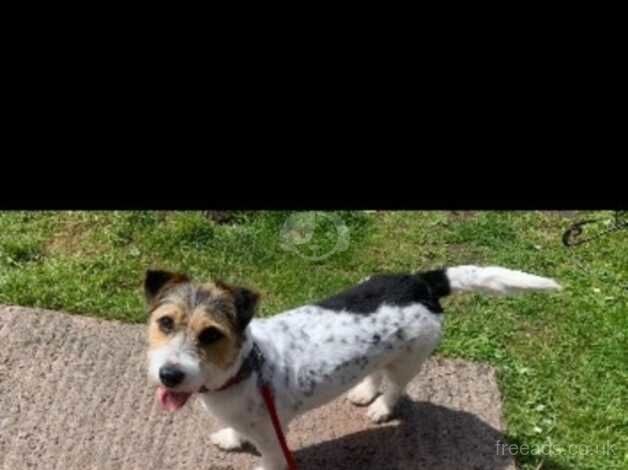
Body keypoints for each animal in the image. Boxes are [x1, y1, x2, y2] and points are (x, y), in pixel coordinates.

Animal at [146, 266, 560, 468]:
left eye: (211, 334)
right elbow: (234, 430)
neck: (245, 366)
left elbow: (271, 459)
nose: (169, 375)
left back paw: (380, 408)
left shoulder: (272, 438)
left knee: (395, 387)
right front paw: (231, 439)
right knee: (374, 370)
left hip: (409, 360)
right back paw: (363, 392)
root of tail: (422, 282)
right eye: (165, 323)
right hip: (382, 350)